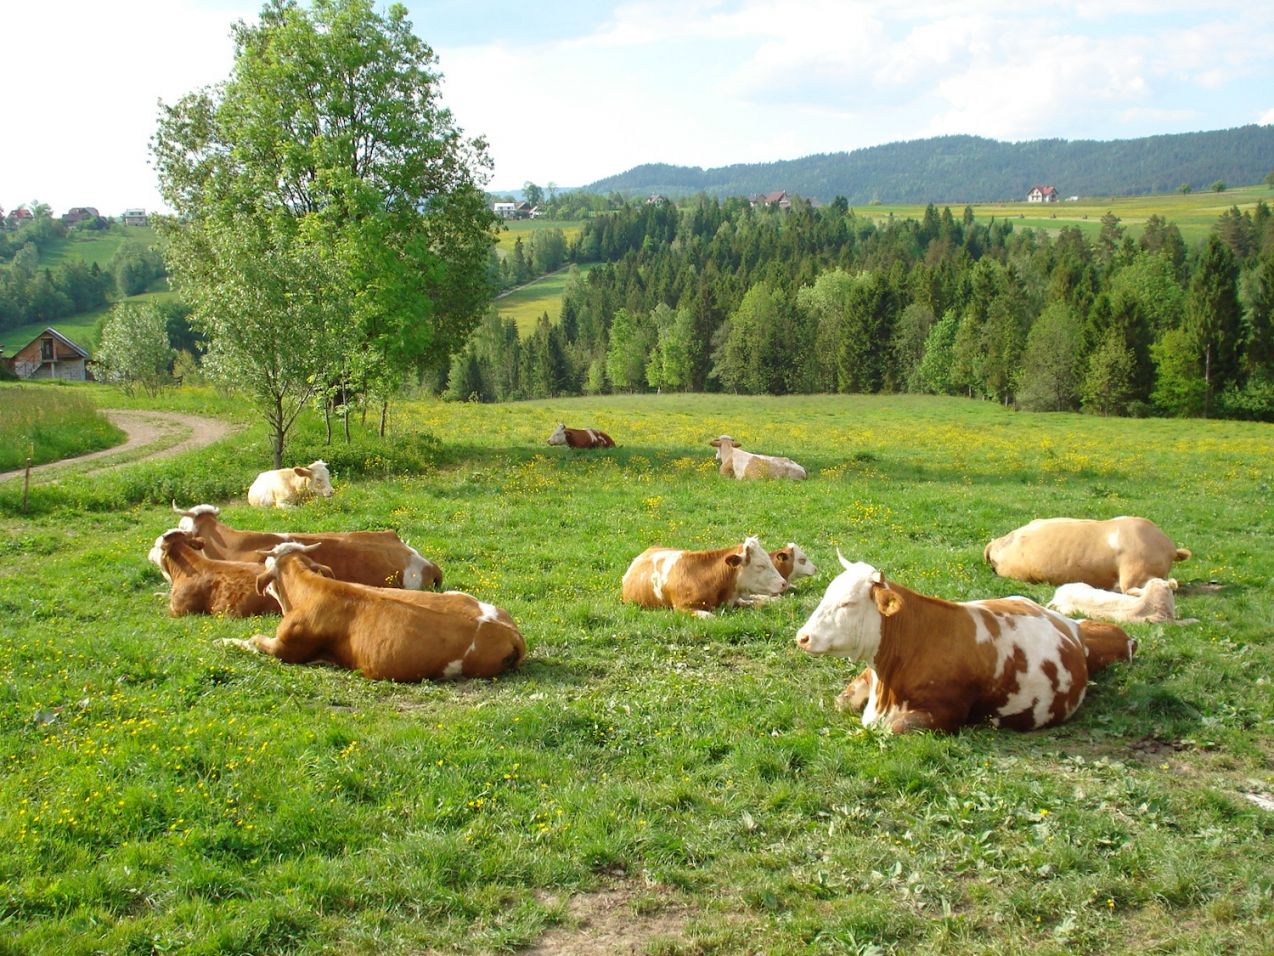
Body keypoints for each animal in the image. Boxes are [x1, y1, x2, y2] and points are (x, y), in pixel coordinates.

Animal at [795, 553, 1136, 734]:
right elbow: (841, 701)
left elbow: (894, 727)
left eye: (848, 604)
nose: (803, 636)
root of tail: (1071, 628)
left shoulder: (946, 713)